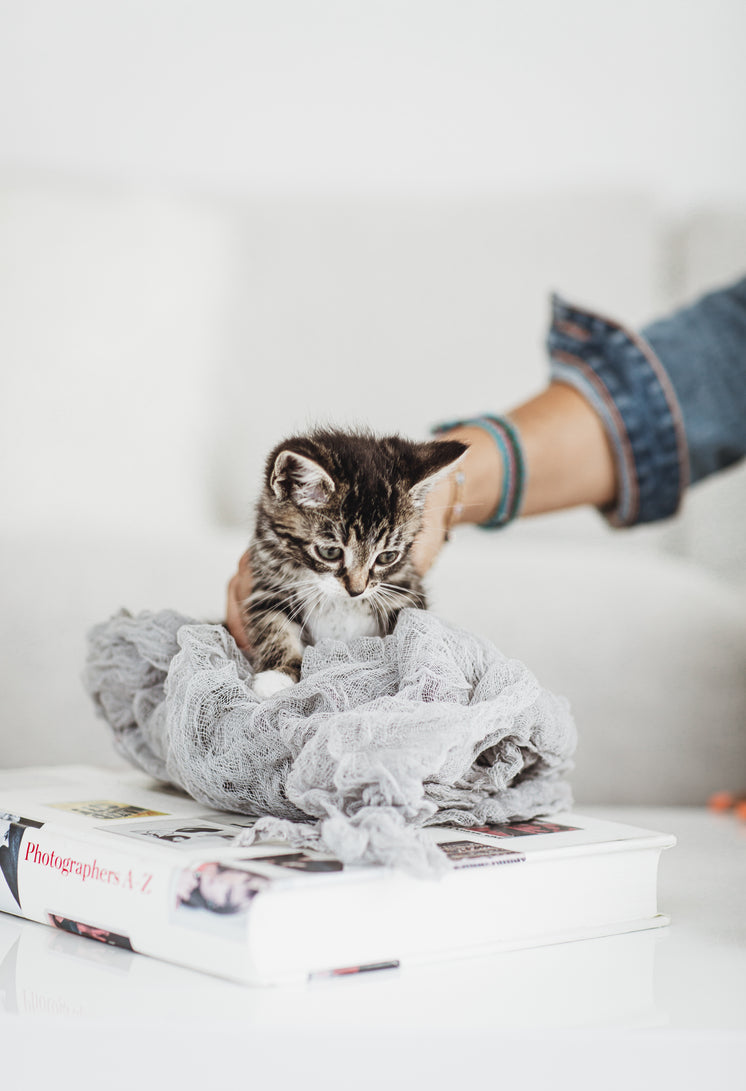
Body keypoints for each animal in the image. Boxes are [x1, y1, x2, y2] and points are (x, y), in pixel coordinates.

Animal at [244, 427, 466, 693]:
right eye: (330, 553)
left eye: (387, 556)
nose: (356, 590)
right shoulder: (269, 579)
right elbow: (273, 622)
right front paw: (277, 676)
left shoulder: (402, 585)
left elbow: (414, 630)